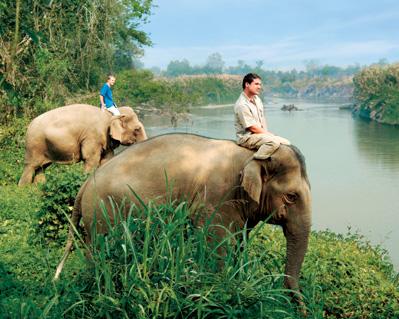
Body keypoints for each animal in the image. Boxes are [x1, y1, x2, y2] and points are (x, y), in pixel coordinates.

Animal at [18, 104, 148, 186]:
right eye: (137, 129)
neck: (110, 115)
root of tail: (28, 126)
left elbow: (107, 158)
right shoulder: (92, 136)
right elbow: (91, 159)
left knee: (41, 168)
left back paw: (38, 188)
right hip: (34, 145)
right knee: (30, 167)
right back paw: (23, 190)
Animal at [54, 133, 312, 300]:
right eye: (291, 196)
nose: (300, 309)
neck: (251, 156)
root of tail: (84, 185)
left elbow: (239, 243)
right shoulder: (216, 198)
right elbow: (217, 245)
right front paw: (221, 289)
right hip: (102, 213)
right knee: (103, 251)